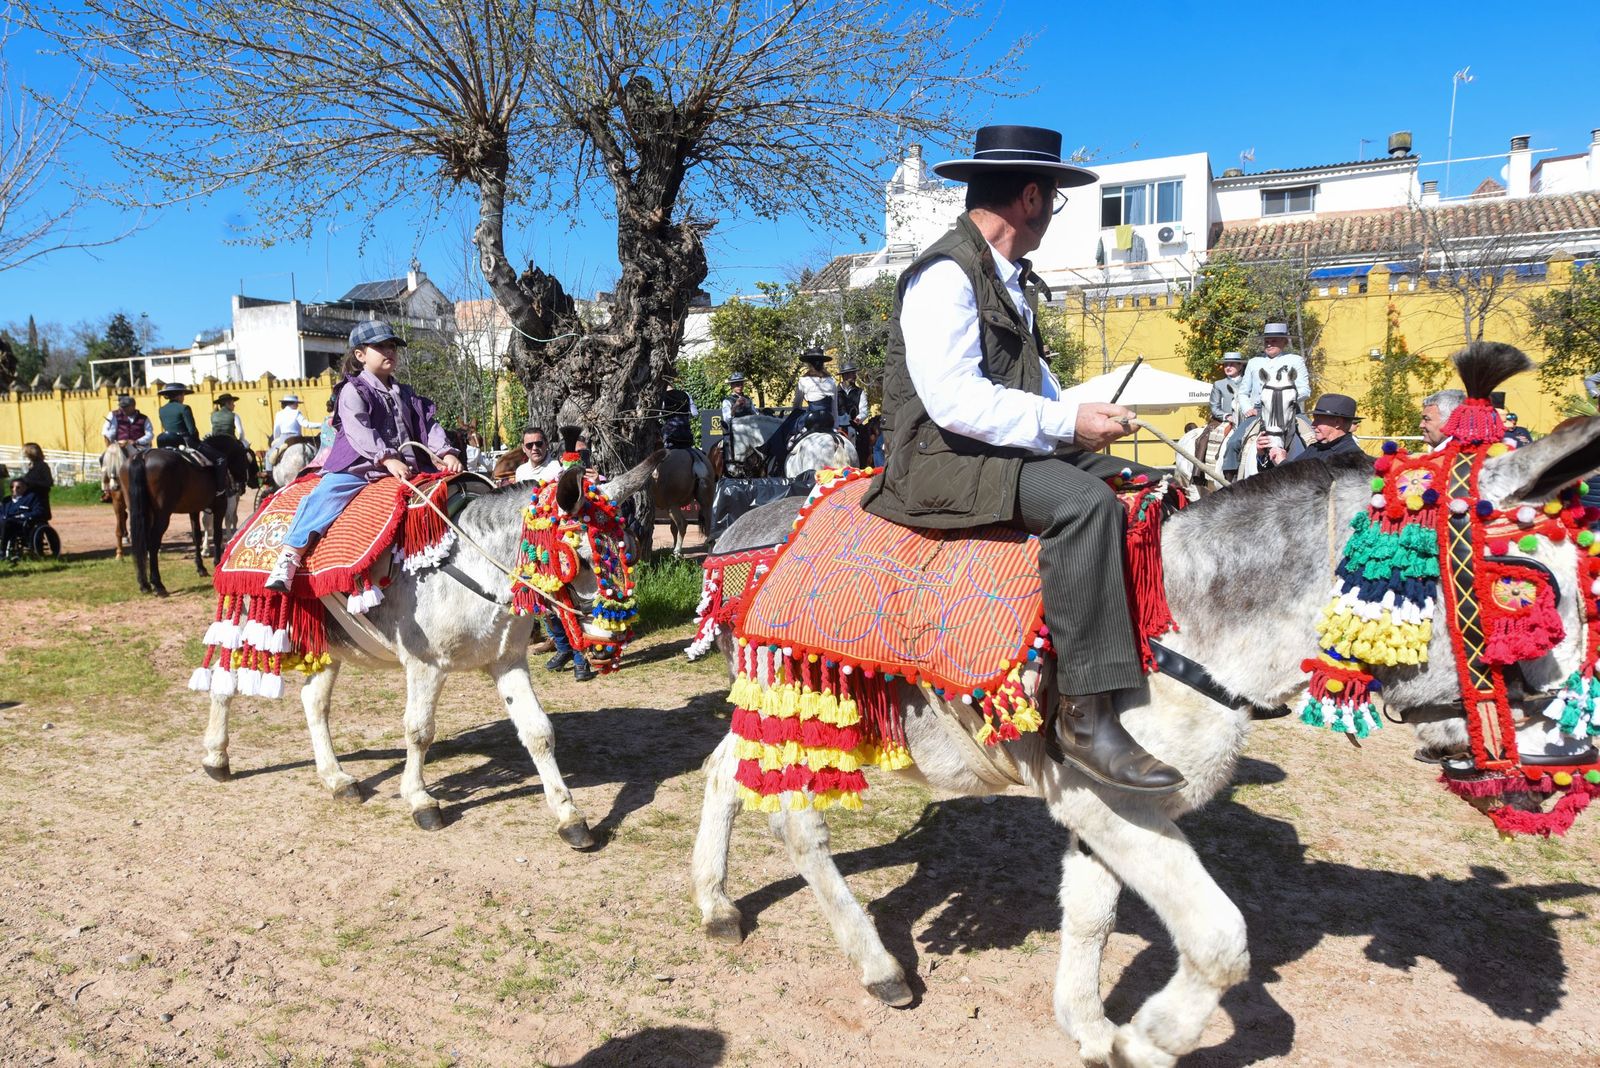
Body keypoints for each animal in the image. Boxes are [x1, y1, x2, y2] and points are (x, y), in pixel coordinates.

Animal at [126, 435, 258, 596]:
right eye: (248, 458)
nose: (253, 481)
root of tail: (143, 456)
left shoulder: (193, 509)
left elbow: (197, 536)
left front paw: (201, 568)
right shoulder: (219, 507)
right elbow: (217, 534)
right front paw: (216, 562)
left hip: (145, 513)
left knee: (142, 542)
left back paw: (144, 583)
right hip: (162, 515)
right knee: (153, 542)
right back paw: (158, 584)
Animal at [199, 457, 660, 843]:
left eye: (628, 550)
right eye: (577, 556)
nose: (610, 638)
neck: (474, 567)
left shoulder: (507, 662)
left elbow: (538, 732)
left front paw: (569, 816)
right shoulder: (425, 666)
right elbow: (419, 731)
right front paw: (421, 801)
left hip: (328, 643)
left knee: (313, 702)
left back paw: (337, 779)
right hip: (250, 618)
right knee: (225, 685)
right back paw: (216, 758)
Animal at [690, 417, 1600, 1066]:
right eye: (1527, 591)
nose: (1566, 761)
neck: (1184, 619)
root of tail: (752, 525)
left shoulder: (1106, 807)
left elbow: (1091, 914)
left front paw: (1088, 1027)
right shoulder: (1113, 800)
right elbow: (1219, 940)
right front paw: (1148, 1038)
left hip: (773, 707)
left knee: (723, 769)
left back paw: (716, 904)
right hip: (805, 709)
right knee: (793, 820)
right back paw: (876, 963)